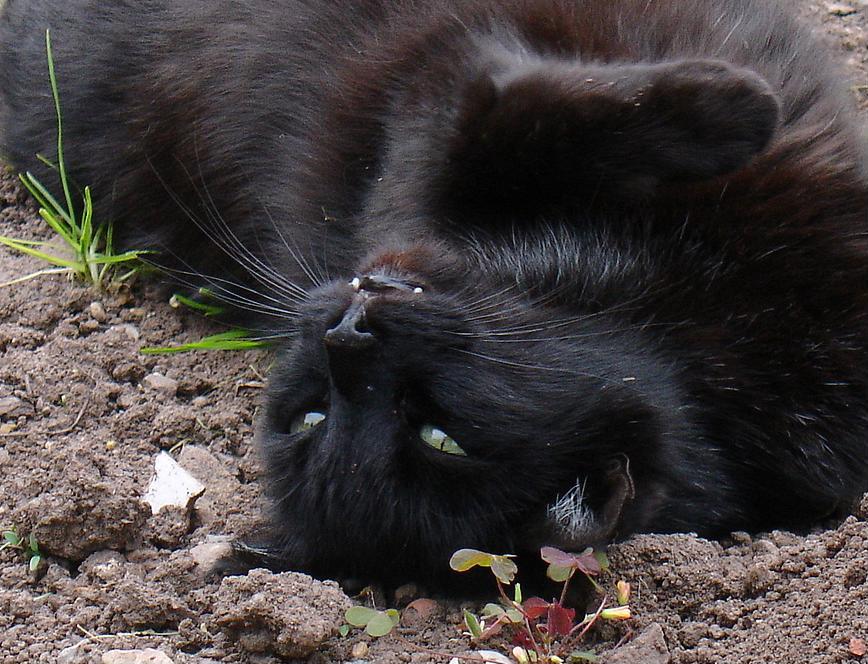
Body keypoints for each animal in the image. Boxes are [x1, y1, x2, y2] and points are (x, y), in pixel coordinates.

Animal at [1, 0, 868, 588]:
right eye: (315, 416)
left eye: (437, 435)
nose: (348, 332)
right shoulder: (434, 107)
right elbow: (506, 113)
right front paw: (737, 105)